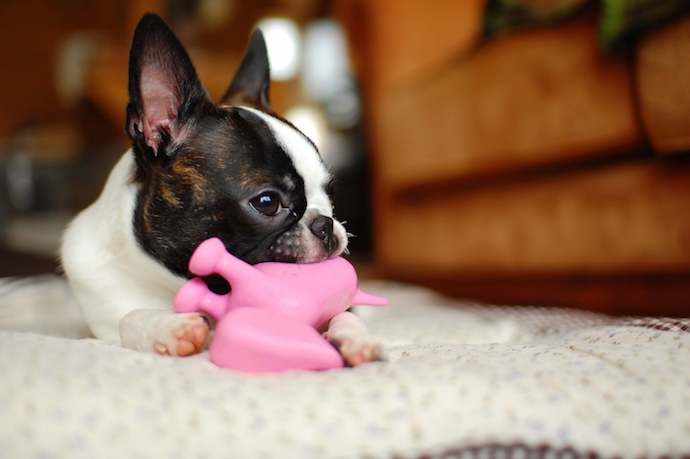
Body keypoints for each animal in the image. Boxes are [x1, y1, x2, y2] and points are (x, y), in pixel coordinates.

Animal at [57, 13, 382, 366]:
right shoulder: (104, 323)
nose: (325, 224)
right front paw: (168, 329)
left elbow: (344, 313)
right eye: (266, 202)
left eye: (330, 191)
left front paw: (355, 338)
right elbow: (128, 318)